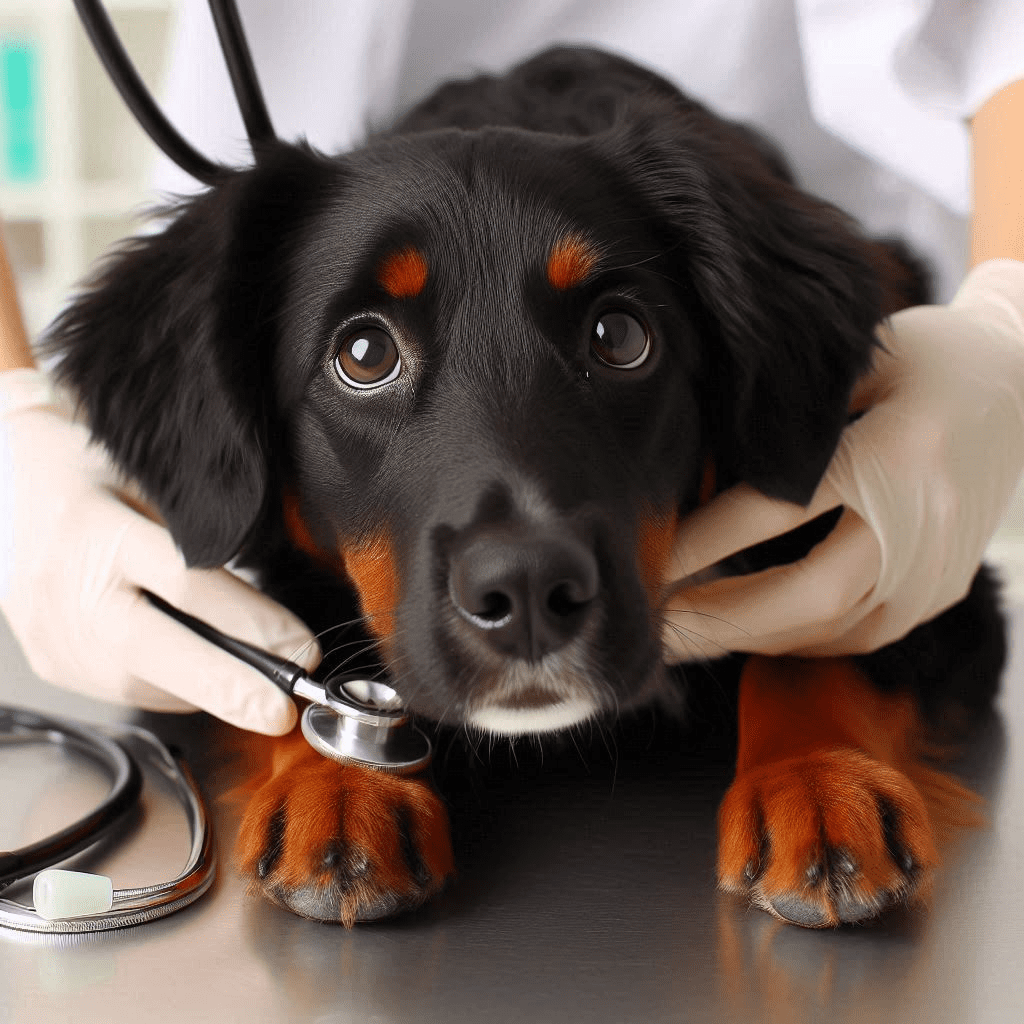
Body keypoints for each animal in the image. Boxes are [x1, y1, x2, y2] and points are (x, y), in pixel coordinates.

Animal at [46, 46, 999, 929]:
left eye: (620, 336)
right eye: (363, 353)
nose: (531, 592)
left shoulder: (916, 567)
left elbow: (821, 645)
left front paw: (818, 781)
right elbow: (299, 660)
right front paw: (341, 788)